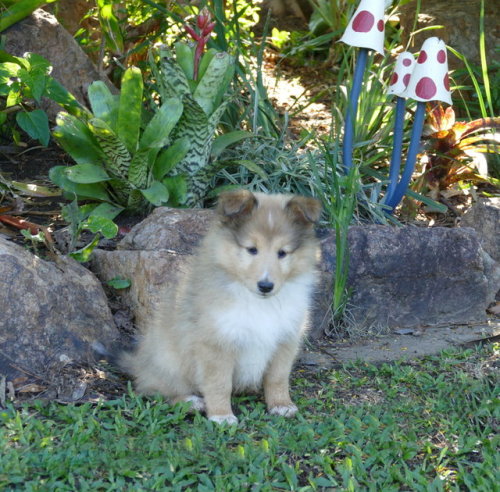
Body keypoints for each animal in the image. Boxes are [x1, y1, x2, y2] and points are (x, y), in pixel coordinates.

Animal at [121, 190, 320, 424]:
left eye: (282, 252)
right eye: (252, 249)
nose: (265, 286)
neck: (257, 301)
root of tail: (138, 363)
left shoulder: (286, 338)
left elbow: (277, 378)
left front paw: (281, 405)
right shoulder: (216, 342)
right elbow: (219, 384)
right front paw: (222, 415)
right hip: (168, 359)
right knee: (157, 389)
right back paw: (190, 402)